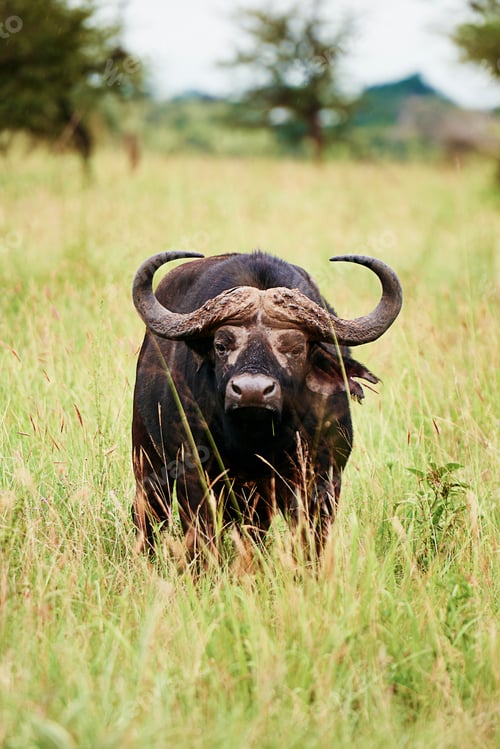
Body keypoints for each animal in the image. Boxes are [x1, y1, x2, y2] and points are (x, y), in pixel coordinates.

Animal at [132, 251, 402, 556]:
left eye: (296, 348)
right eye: (221, 345)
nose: (252, 391)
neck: (255, 439)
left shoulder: (322, 480)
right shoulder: (194, 476)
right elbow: (202, 538)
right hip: (146, 460)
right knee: (148, 515)